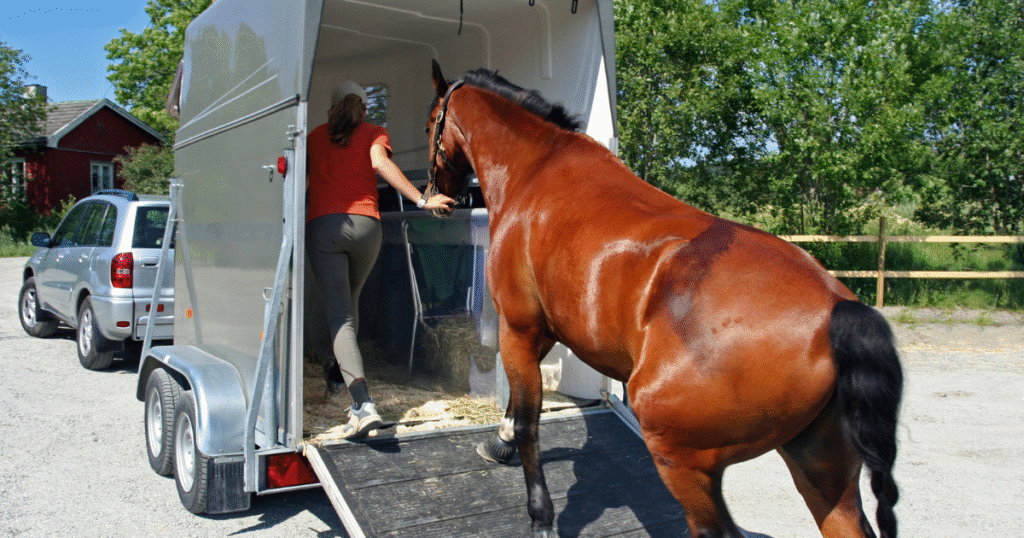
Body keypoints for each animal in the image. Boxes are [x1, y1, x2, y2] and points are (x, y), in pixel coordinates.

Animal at [423, 60, 903, 538]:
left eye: (430, 124)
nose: (436, 197)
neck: (537, 169)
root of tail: (840, 310)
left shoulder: (518, 326)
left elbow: (528, 422)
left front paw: (540, 515)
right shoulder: (542, 329)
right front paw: (498, 443)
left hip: (683, 460)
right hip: (822, 470)